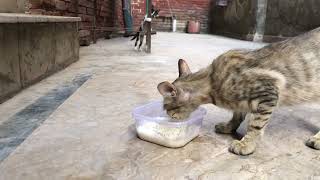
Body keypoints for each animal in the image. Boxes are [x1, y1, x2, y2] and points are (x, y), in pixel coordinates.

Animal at [159, 27, 320, 155]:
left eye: (167, 108)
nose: (168, 116)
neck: (212, 81)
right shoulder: (244, 101)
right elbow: (237, 115)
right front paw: (229, 127)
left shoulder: (269, 92)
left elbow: (255, 125)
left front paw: (246, 144)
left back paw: (317, 139)